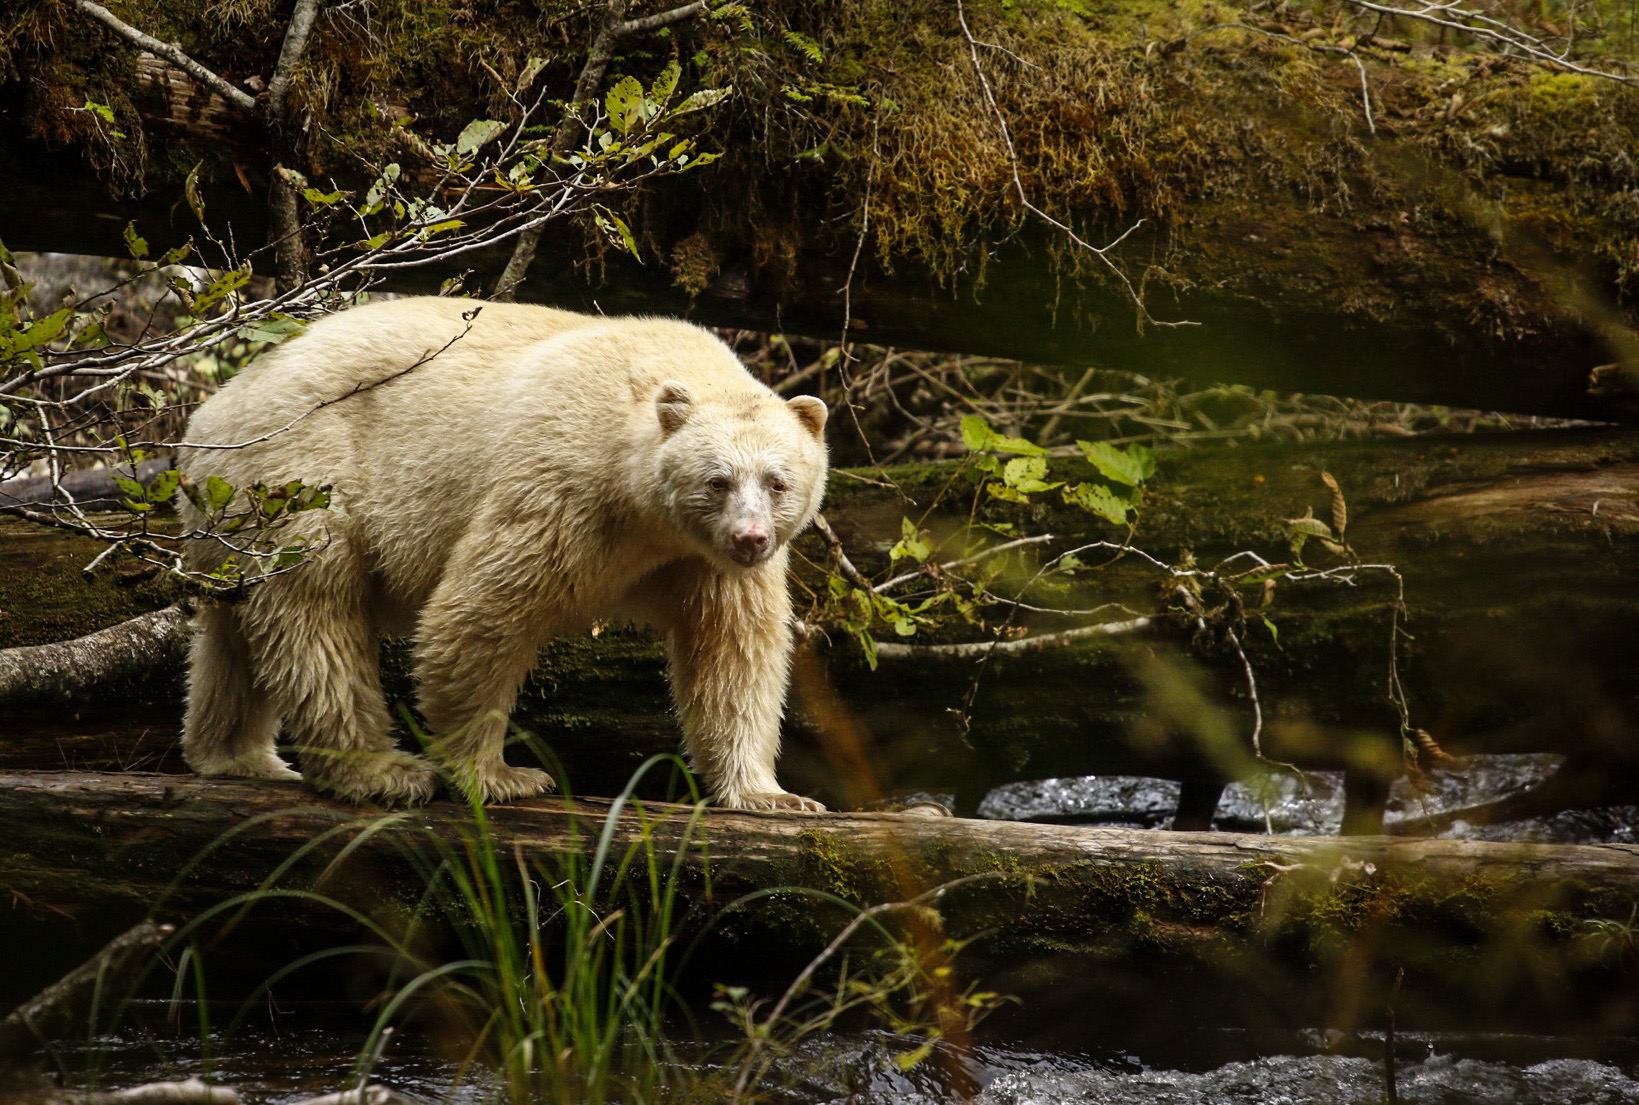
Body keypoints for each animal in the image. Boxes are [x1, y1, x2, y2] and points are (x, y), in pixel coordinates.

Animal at [177, 296, 828, 811]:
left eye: (777, 481)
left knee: (232, 634)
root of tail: (208, 416)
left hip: (234, 515)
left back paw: (236, 755)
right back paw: (383, 770)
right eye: (717, 481)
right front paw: (500, 776)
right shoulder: (562, 485)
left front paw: (774, 795)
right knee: (318, 618)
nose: (751, 538)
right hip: (302, 477)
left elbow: (734, 651)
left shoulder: (702, 561)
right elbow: (481, 612)